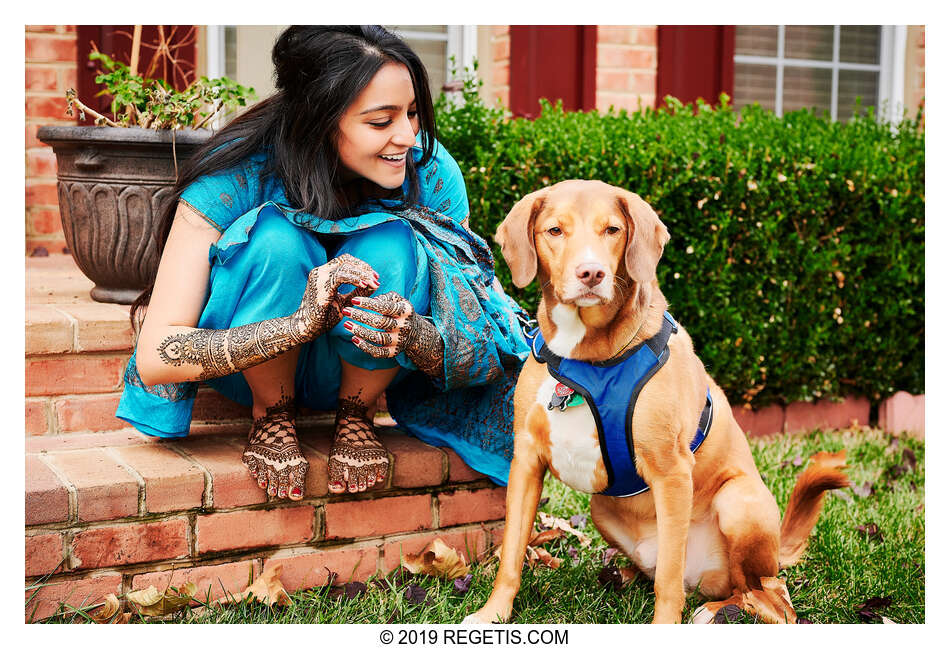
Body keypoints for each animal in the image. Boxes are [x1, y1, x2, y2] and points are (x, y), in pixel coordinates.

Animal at [464, 181, 852, 624]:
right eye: (555, 231)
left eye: (612, 230)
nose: (591, 273)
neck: (588, 358)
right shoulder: (526, 462)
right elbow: (511, 551)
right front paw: (492, 613)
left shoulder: (671, 472)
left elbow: (669, 576)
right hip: (601, 510)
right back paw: (624, 576)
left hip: (739, 504)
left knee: (769, 597)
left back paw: (716, 610)